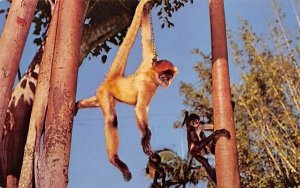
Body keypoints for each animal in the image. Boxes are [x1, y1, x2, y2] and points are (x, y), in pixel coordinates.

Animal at [75, 0, 178, 182]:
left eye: (169, 75)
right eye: (163, 76)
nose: (166, 81)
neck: (151, 75)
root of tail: (114, 79)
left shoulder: (150, 60)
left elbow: (146, 38)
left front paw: (146, 7)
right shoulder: (146, 85)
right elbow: (140, 109)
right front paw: (146, 138)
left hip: (101, 94)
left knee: (96, 103)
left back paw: (78, 104)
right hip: (106, 94)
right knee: (111, 120)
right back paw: (115, 160)